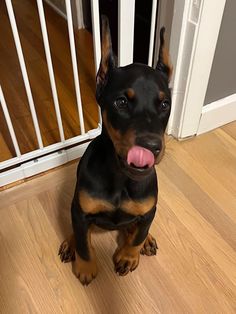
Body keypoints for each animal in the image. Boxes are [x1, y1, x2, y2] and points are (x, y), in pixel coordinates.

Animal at [58, 17, 172, 288]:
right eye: (121, 102)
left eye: (165, 104)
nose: (152, 147)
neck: (121, 177)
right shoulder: (81, 211)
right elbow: (84, 241)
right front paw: (85, 267)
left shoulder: (149, 209)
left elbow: (138, 233)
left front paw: (129, 256)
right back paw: (70, 243)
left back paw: (146, 241)